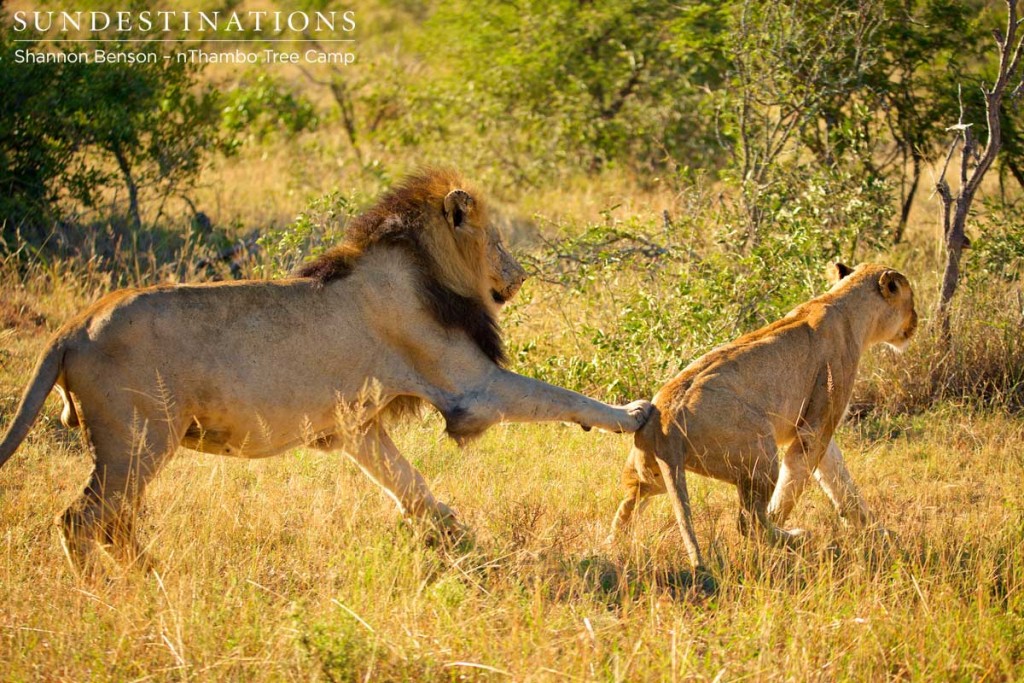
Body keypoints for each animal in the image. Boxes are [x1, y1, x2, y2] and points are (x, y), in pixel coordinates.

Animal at [0, 167, 651, 573]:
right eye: (495, 238)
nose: (520, 276)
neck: (423, 267)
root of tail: (71, 327)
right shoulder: (472, 386)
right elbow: (559, 396)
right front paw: (633, 412)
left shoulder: (356, 427)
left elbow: (409, 484)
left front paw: (454, 535)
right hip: (136, 439)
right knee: (79, 521)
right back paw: (118, 588)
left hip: (135, 445)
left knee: (112, 524)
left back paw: (154, 576)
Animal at [606, 262, 921, 581]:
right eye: (912, 301)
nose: (917, 321)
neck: (847, 308)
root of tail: (667, 423)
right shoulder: (814, 427)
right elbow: (797, 479)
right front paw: (779, 519)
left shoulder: (819, 430)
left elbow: (840, 480)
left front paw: (878, 532)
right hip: (760, 452)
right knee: (748, 523)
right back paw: (795, 537)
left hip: (651, 471)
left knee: (630, 500)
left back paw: (611, 544)